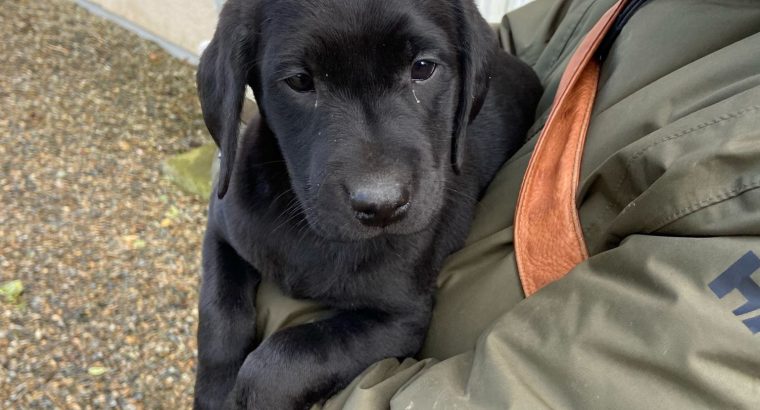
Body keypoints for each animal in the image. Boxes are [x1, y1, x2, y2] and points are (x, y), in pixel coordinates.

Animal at [194, 0, 540, 406]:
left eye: (423, 68)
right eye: (300, 81)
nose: (382, 205)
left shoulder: (401, 319)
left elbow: (285, 358)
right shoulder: (222, 230)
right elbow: (220, 313)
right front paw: (215, 391)